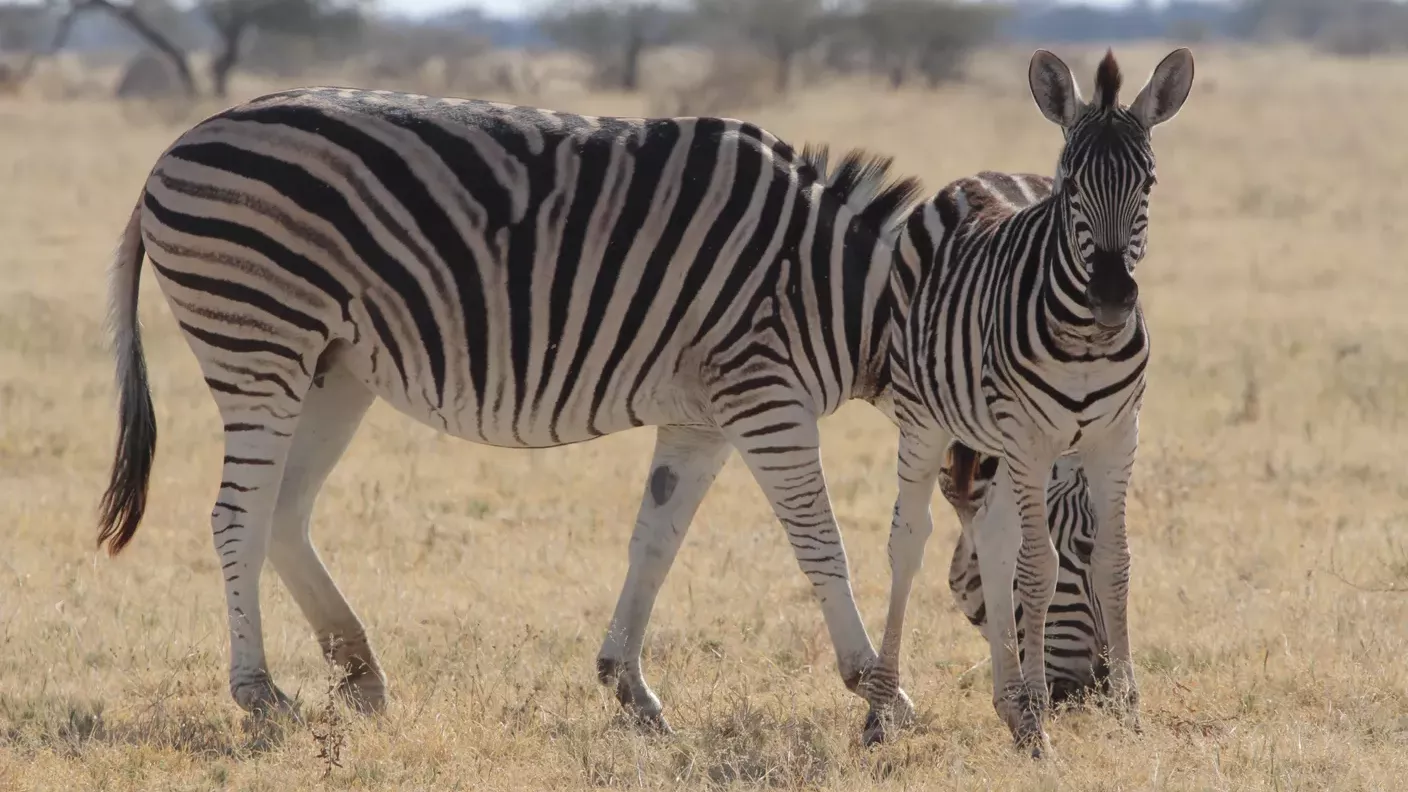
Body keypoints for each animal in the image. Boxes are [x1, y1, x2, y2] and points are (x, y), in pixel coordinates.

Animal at [95, 87, 926, 734]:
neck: (849, 293)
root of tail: (172, 151)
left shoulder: (702, 417)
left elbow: (654, 543)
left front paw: (630, 687)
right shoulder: (762, 393)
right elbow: (819, 542)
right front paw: (877, 690)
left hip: (333, 368)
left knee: (283, 511)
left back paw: (360, 674)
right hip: (258, 341)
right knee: (237, 516)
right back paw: (260, 693)